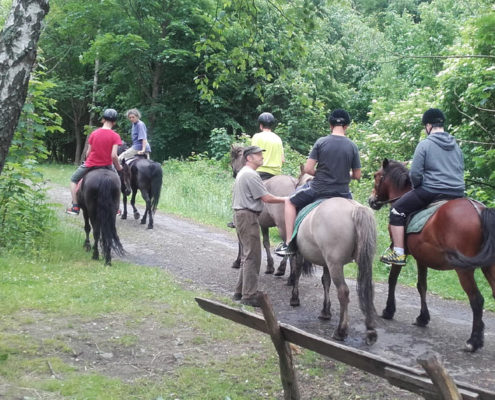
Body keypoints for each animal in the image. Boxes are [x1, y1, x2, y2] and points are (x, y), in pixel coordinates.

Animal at [230, 145, 296, 276]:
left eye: (233, 160)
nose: (234, 173)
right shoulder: (264, 225)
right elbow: (266, 243)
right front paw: (270, 266)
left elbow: (241, 242)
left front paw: (238, 261)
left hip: (283, 226)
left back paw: (283, 269)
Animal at [288, 197, 378, 344]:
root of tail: (355, 208)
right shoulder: (326, 262)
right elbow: (326, 281)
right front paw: (325, 311)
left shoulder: (299, 253)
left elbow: (297, 272)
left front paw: (294, 298)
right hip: (361, 261)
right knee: (367, 288)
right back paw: (371, 330)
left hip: (335, 264)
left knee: (343, 292)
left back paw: (341, 331)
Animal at [368, 158, 495, 352]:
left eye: (377, 176)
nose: (371, 200)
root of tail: (479, 211)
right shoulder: (422, 257)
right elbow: (422, 285)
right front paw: (423, 318)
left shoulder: (404, 252)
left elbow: (393, 279)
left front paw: (389, 310)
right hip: (489, 266)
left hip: (464, 270)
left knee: (477, 300)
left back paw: (473, 341)